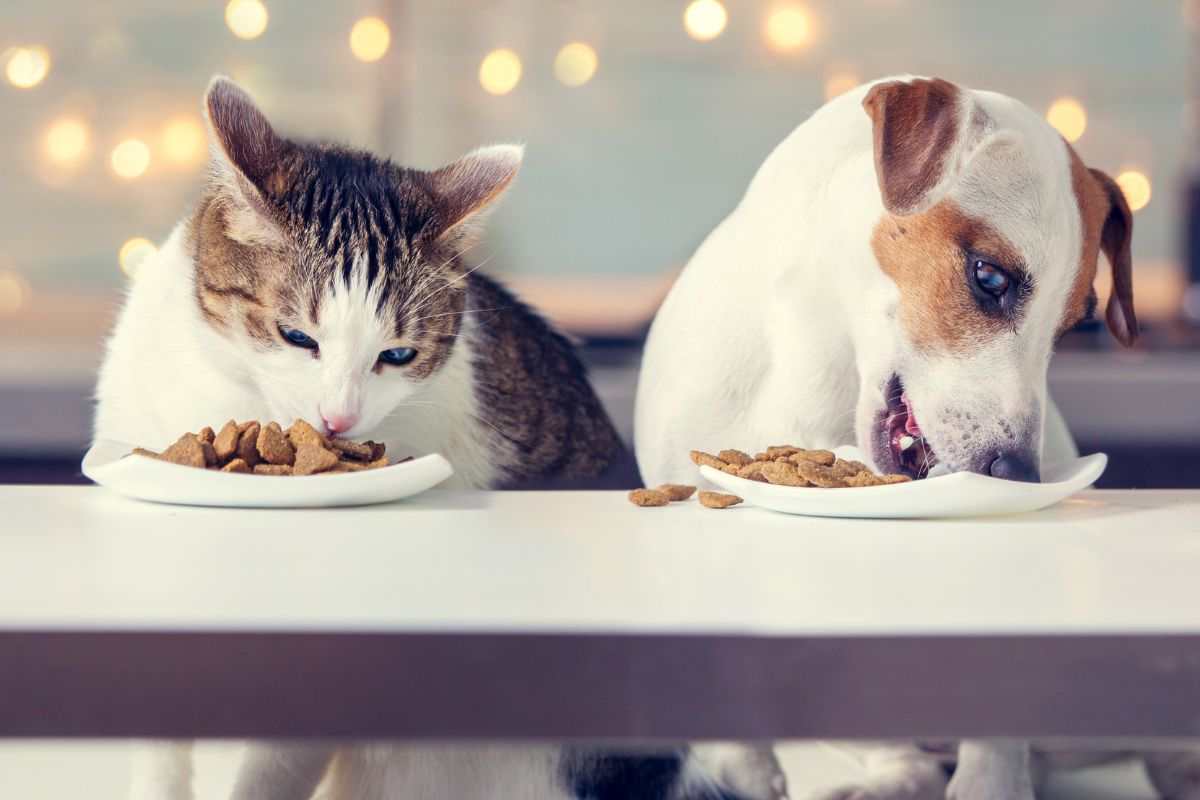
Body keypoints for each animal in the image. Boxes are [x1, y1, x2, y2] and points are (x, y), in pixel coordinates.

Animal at [633, 76, 1195, 800]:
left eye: (1075, 323)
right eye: (989, 277)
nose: (1018, 473)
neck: (820, 357)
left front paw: (990, 784)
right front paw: (741, 767)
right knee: (906, 758)